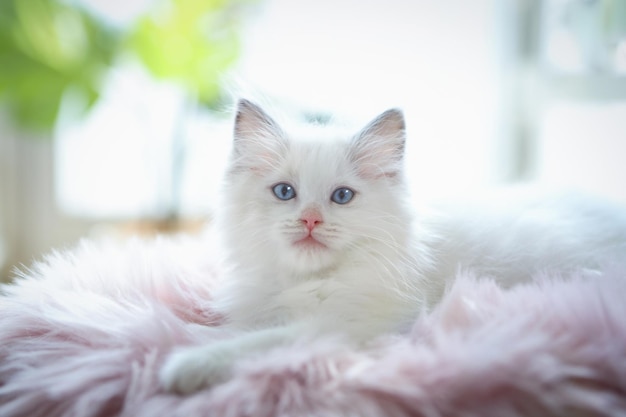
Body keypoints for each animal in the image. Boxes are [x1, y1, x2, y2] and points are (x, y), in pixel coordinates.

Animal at [161, 99, 624, 392]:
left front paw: (186, 365)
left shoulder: (354, 325)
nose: (310, 220)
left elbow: (259, 343)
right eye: (284, 192)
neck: (304, 282)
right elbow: (230, 328)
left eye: (342, 197)